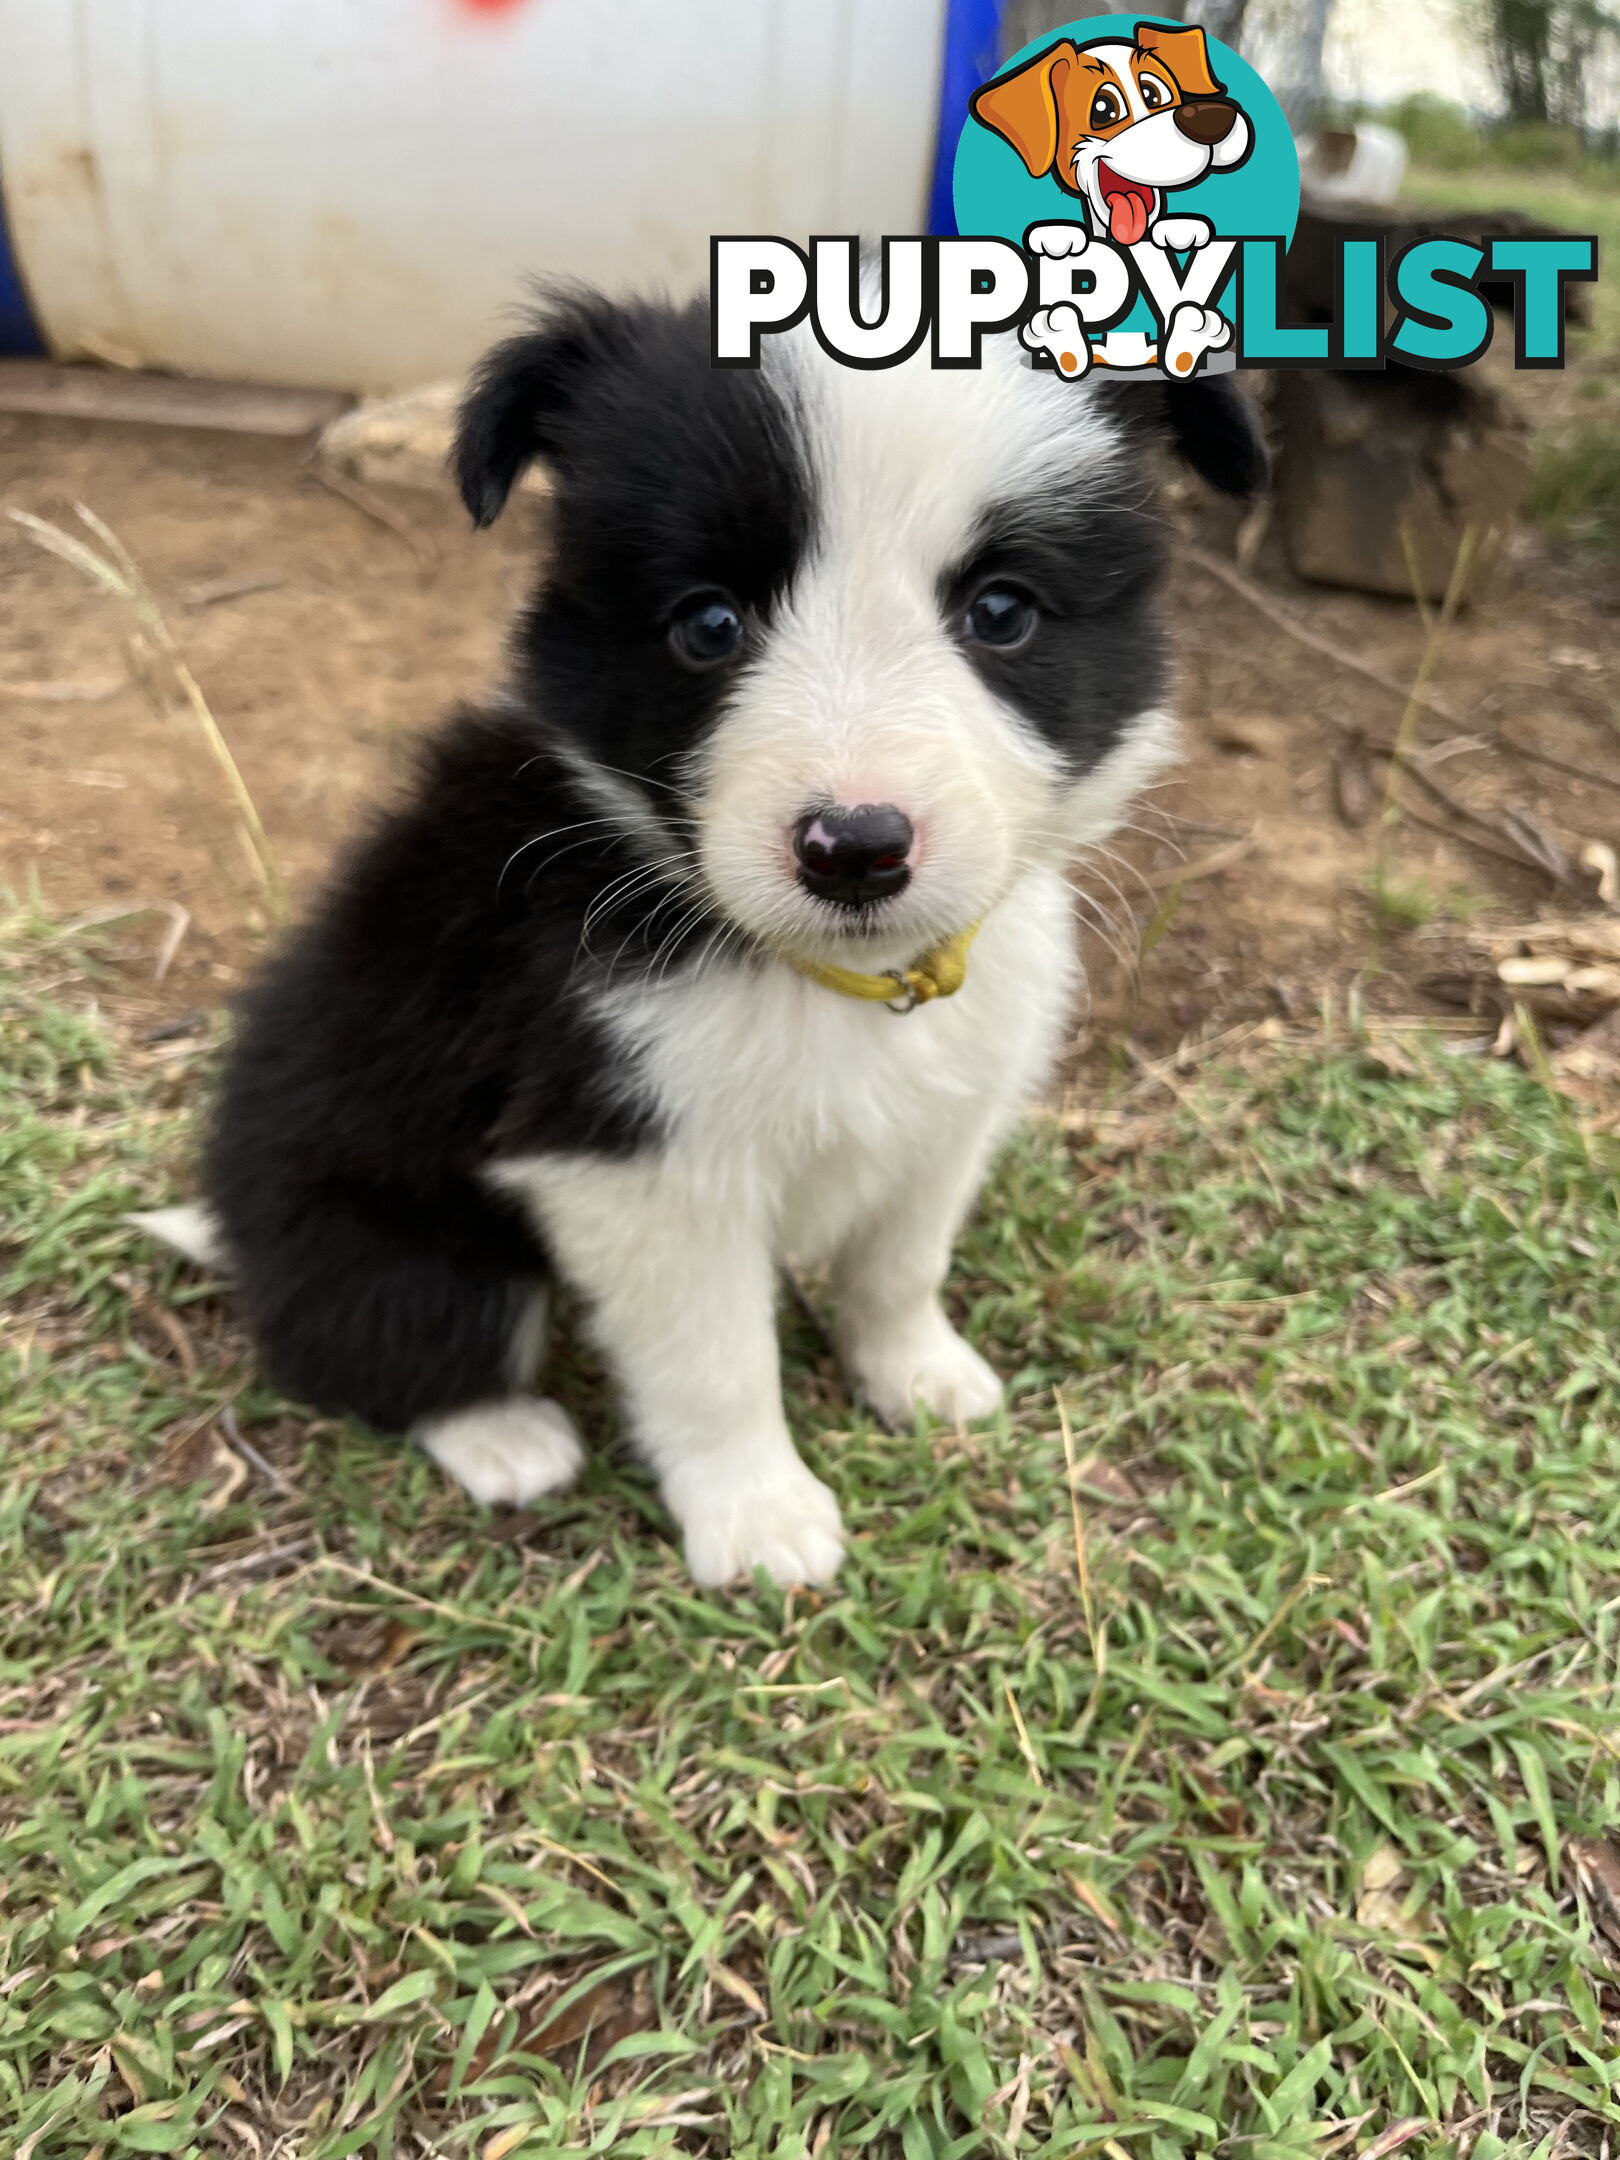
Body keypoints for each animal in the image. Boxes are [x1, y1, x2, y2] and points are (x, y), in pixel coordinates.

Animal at [149, 291, 1270, 1589]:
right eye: (707, 623)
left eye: (1001, 611)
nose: (854, 848)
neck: (840, 978)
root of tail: (241, 1237)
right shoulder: (633, 1160)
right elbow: (716, 1359)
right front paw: (759, 1516)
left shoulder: (955, 1106)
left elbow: (902, 1261)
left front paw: (919, 1374)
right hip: (402, 1243)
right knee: (380, 1344)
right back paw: (503, 1437)